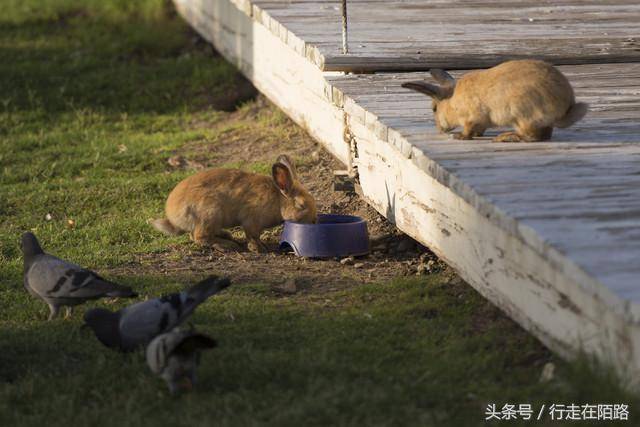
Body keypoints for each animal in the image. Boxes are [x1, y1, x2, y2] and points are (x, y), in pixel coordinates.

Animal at [152, 155, 318, 252]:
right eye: (301, 205)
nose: (313, 221)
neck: (278, 201)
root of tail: (173, 217)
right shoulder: (251, 220)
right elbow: (253, 235)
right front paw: (258, 248)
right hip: (210, 212)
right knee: (198, 237)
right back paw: (226, 245)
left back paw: (226, 236)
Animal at [402, 59, 588, 143]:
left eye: (434, 108)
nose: (440, 130)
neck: (453, 101)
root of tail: (565, 108)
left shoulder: (472, 117)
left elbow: (469, 129)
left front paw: (459, 136)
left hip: (522, 116)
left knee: (532, 136)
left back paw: (504, 137)